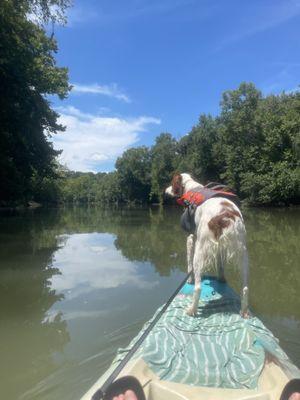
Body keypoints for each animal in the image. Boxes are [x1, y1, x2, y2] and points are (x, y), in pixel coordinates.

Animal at [165, 173, 250, 318]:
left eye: (171, 183)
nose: (166, 190)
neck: (192, 189)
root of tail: (225, 216)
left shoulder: (191, 238)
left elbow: (189, 266)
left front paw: (189, 279)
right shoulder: (220, 248)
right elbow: (220, 267)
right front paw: (221, 279)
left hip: (200, 251)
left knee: (198, 287)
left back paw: (192, 310)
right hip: (242, 254)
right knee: (245, 288)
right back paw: (244, 311)